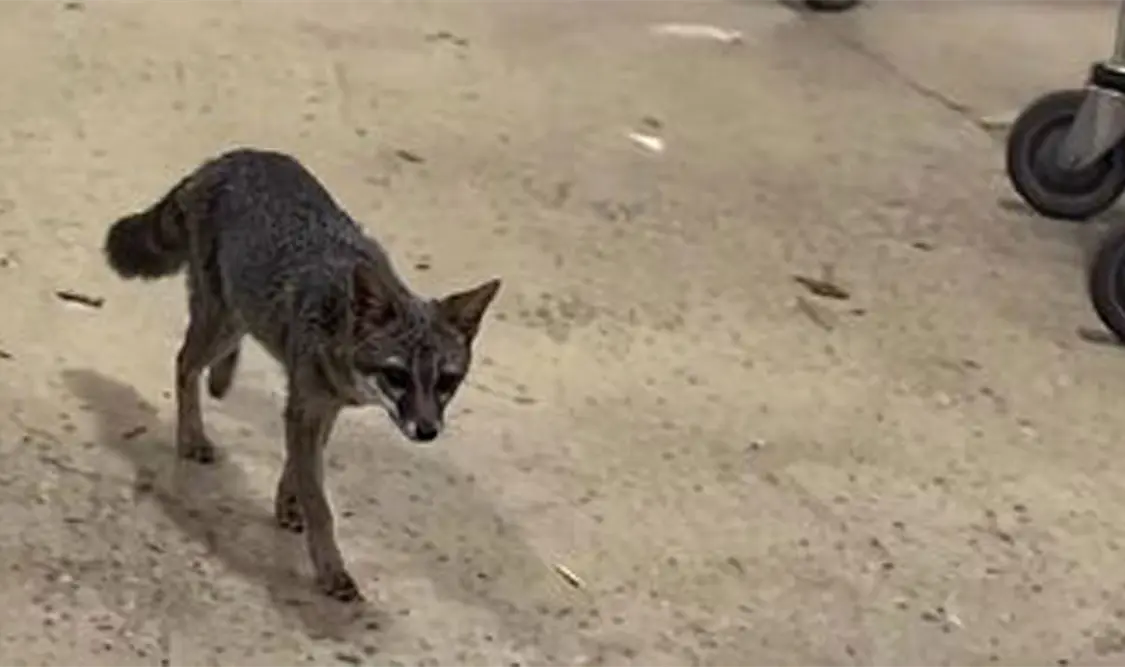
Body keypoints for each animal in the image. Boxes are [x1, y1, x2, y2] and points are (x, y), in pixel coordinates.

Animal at [102, 148, 501, 602]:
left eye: (446, 381)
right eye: (397, 376)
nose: (427, 430)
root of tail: (226, 158)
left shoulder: (324, 407)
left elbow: (300, 467)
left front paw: (288, 501)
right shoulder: (308, 407)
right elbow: (320, 503)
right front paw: (330, 566)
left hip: (238, 314)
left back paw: (222, 378)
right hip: (223, 317)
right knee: (184, 362)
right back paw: (191, 434)